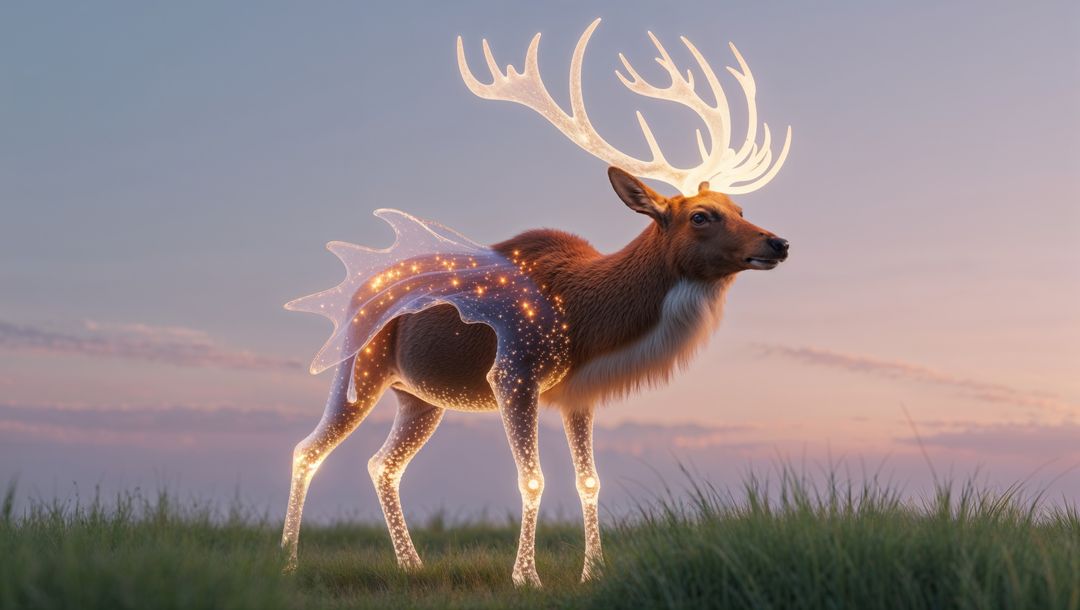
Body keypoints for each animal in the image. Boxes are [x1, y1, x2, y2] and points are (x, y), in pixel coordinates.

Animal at [281, 18, 792, 587]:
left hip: (419, 398)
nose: (777, 243)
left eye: (739, 207)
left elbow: (589, 480)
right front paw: (526, 576)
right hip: (357, 368)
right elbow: (531, 478)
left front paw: (594, 571)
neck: (584, 319)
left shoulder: (577, 393)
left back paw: (411, 564)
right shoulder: (513, 372)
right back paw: (289, 561)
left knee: (382, 464)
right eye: (701, 215)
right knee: (307, 450)